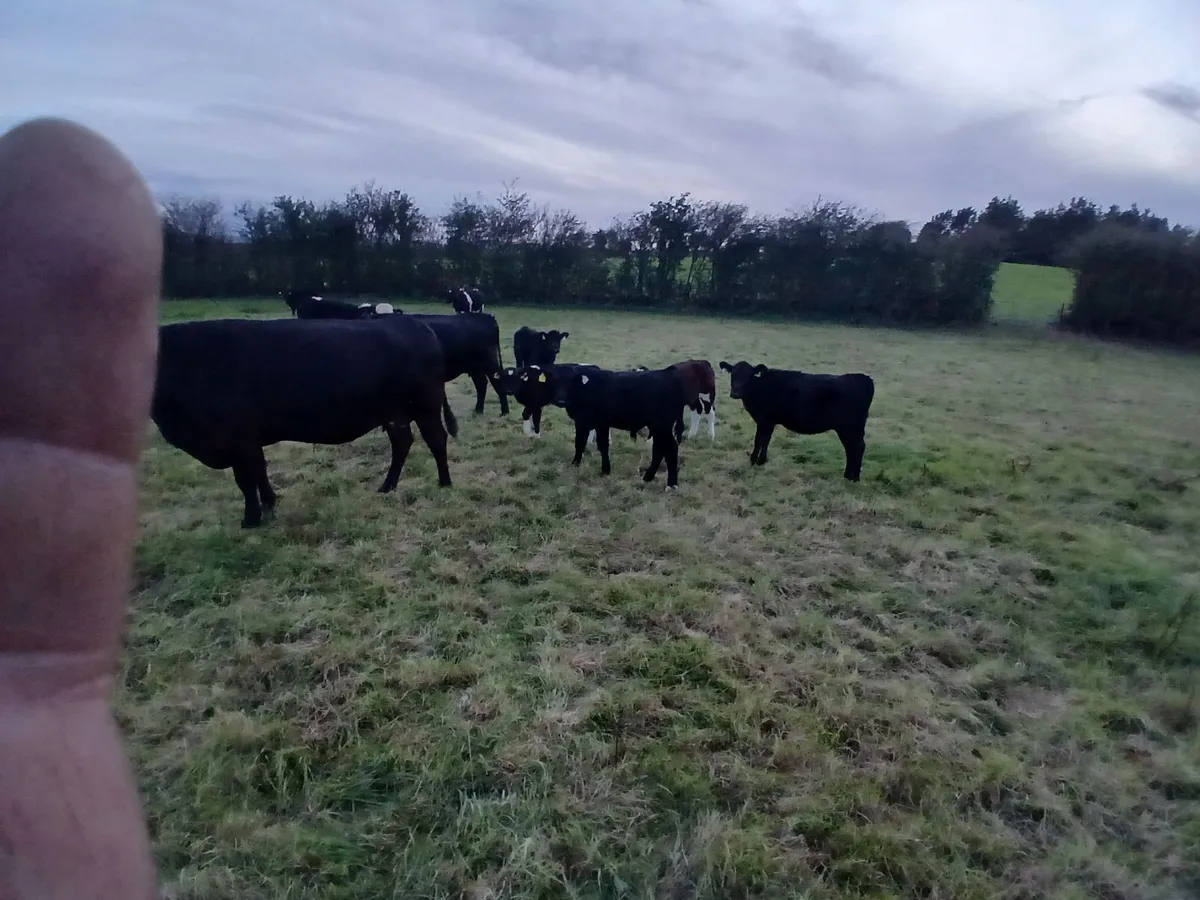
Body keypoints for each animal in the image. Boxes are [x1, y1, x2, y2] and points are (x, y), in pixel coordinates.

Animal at [151, 315, 459, 529]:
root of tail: (415, 323)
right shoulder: (249, 442)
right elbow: (259, 473)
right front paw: (269, 505)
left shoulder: (238, 440)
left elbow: (246, 481)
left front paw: (250, 520)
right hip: (396, 414)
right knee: (403, 443)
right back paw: (388, 486)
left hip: (425, 406)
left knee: (436, 439)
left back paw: (444, 482)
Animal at [550, 366, 688, 489]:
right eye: (556, 380)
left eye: (571, 381)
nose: (561, 401)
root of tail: (667, 374)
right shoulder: (601, 424)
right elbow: (602, 445)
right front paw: (605, 470)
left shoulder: (583, 422)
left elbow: (580, 443)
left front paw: (575, 464)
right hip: (657, 427)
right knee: (660, 449)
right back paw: (648, 477)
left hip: (661, 425)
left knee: (670, 448)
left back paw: (671, 485)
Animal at [718, 360, 874, 481]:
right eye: (733, 374)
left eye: (749, 376)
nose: (735, 393)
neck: (760, 387)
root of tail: (863, 378)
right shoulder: (768, 422)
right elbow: (765, 441)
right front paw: (761, 461)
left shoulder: (765, 420)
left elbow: (760, 440)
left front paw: (754, 461)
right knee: (853, 448)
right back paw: (850, 476)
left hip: (849, 427)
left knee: (856, 447)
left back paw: (852, 477)